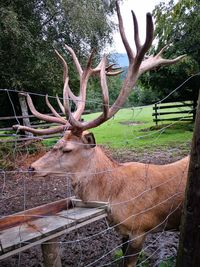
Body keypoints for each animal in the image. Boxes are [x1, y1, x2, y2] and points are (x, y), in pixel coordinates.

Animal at [13, 2, 188, 267]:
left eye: (67, 149)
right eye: (56, 142)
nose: (32, 167)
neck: (112, 199)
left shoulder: (140, 229)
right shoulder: (122, 232)